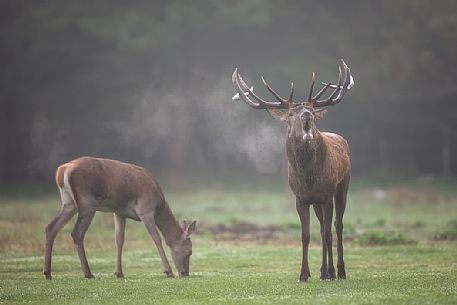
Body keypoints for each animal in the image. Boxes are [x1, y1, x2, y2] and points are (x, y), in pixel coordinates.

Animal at [43, 156, 198, 280]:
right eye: (190, 250)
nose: (185, 273)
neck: (159, 206)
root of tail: (62, 170)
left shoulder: (119, 212)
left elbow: (119, 240)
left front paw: (119, 273)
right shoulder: (145, 210)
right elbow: (156, 238)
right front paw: (168, 271)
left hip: (68, 203)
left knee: (51, 227)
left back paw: (47, 273)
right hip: (87, 202)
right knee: (77, 233)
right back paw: (88, 273)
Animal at [232, 59, 352, 280]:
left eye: (311, 111)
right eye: (290, 113)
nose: (306, 115)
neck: (309, 177)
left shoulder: (327, 194)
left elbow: (329, 233)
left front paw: (331, 272)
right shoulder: (300, 198)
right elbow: (305, 235)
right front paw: (304, 274)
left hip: (342, 187)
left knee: (337, 226)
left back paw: (339, 271)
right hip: (317, 202)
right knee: (321, 227)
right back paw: (322, 271)